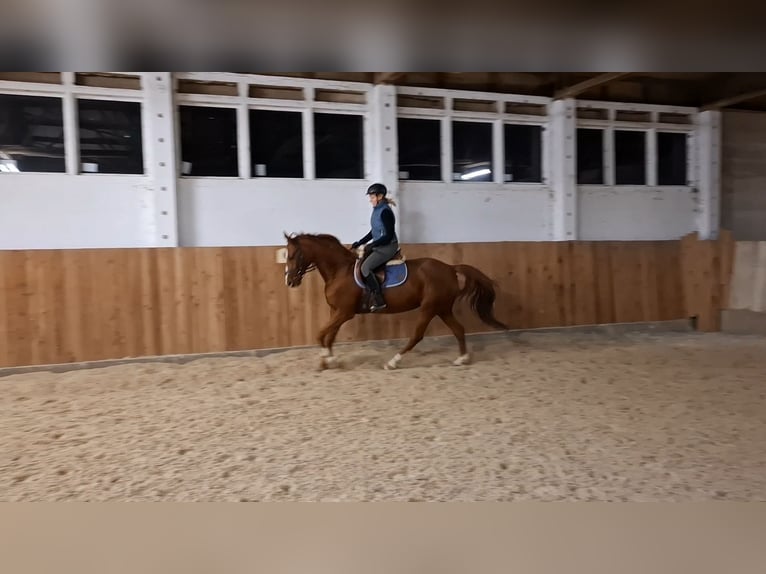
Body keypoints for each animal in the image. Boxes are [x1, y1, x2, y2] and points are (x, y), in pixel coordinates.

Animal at [282, 233, 510, 372]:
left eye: (294, 254)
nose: (289, 281)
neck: (339, 270)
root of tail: (450, 268)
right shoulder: (335, 311)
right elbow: (329, 336)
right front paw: (329, 360)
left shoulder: (344, 312)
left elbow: (321, 334)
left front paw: (326, 359)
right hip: (442, 308)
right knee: (459, 329)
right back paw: (462, 359)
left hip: (429, 308)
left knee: (417, 336)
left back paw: (392, 362)